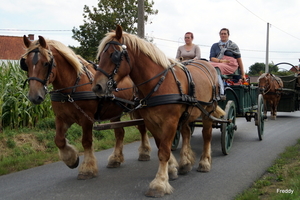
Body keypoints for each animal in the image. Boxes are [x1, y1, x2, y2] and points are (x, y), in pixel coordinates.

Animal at [20, 35, 151, 180]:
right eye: (26, 64)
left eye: (46, 63)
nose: (34, 96)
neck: (70, 88)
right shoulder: (61, 118)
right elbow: (59, 140)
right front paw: (71, 159)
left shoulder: (86, 119)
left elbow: (86, 141)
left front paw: (87, 168)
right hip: (114, 112)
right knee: (120, 133)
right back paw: (115, 159)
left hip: (138, 107)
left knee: (142, 127)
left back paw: (144, 152)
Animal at [91, 25, 225, 198]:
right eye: (100, 56)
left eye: (114, 55)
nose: (97, 87)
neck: (159, 83)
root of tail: (209, 66)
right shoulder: (151, 122)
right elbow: (161, 145)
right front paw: (172, 169)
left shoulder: (170, 121)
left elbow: (164, 151)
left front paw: (159, 183)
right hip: (187, 113)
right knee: (187, 133)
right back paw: (185, 162)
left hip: (207, 109)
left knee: (206, 135)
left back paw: (204, 162)